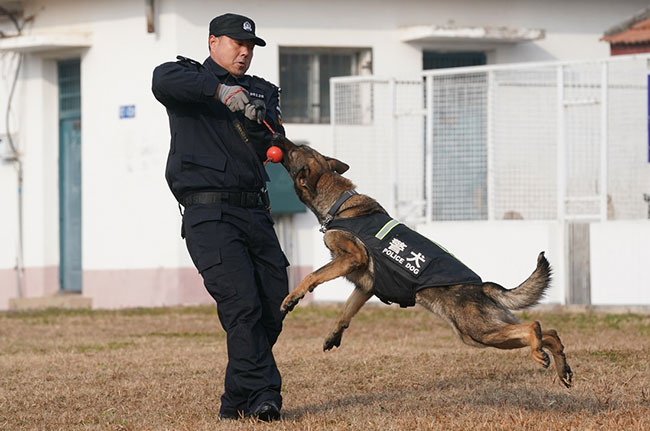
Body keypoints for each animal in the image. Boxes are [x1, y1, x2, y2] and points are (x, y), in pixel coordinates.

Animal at [274, 135, 572, 388]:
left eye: (294, 150)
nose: (278, 135)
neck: (339, 204)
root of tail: (482, 287)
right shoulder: (365, 286)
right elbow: (345, 312)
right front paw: (333, 335)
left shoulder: (352, 258)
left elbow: (312, 276)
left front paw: (292, 298)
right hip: (484, 334)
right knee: (550, 332)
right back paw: (560, 365)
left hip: (478, 332)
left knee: (534, 326)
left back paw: (541, 354)